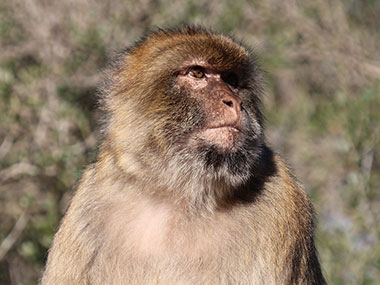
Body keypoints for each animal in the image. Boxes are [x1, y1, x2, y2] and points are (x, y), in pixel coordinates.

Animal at [41, 27, 326, 284]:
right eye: (197, 73)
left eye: (232, 80)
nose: (235, 102)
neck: (180, 193)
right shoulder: (87, 205)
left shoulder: (284, 198)